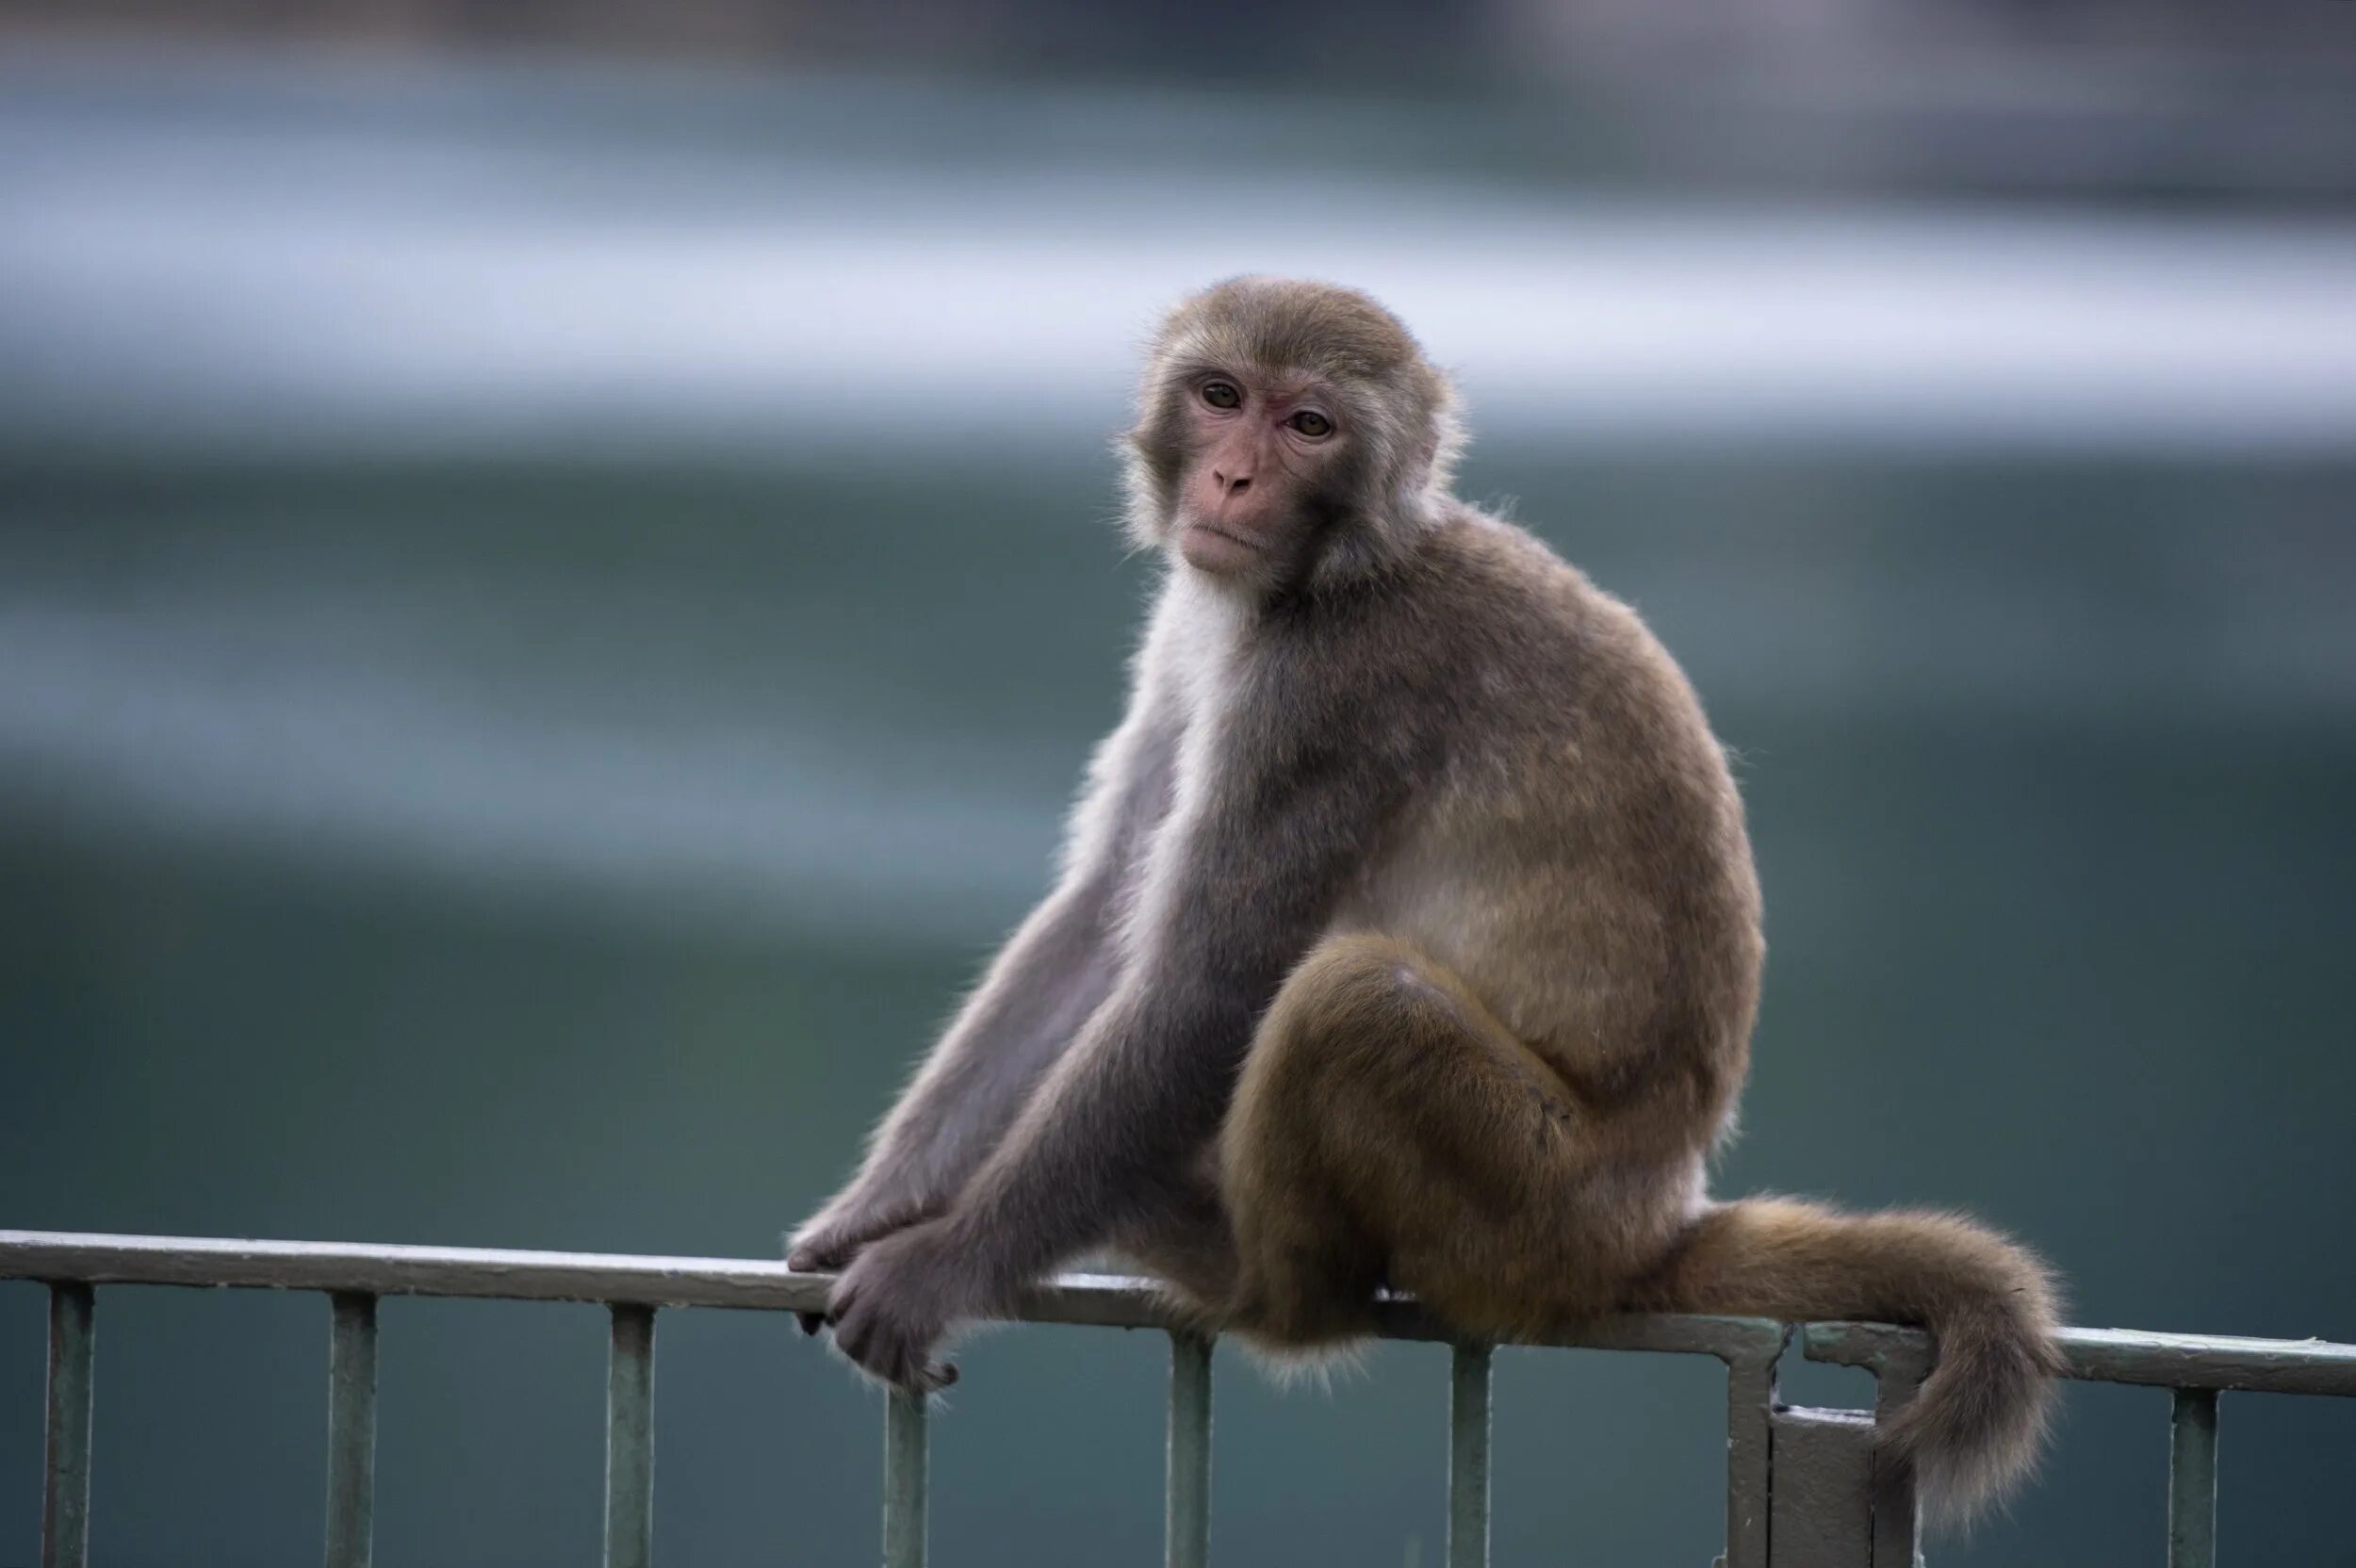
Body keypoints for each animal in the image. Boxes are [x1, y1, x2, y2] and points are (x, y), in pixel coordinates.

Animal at [789, 276, 2060, 1521]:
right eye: (1220, 395)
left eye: (1309, 425)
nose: (1232, 477)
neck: (1330, 572)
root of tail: (1656, 1221)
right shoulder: (1198, 633)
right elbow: (1104, 912)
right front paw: (875, 1206)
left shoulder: (1327, 692)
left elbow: (1204, 985)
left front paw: (942, 1264)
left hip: (1532, 1205)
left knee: (1356, 998)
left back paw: (1254, 1280)